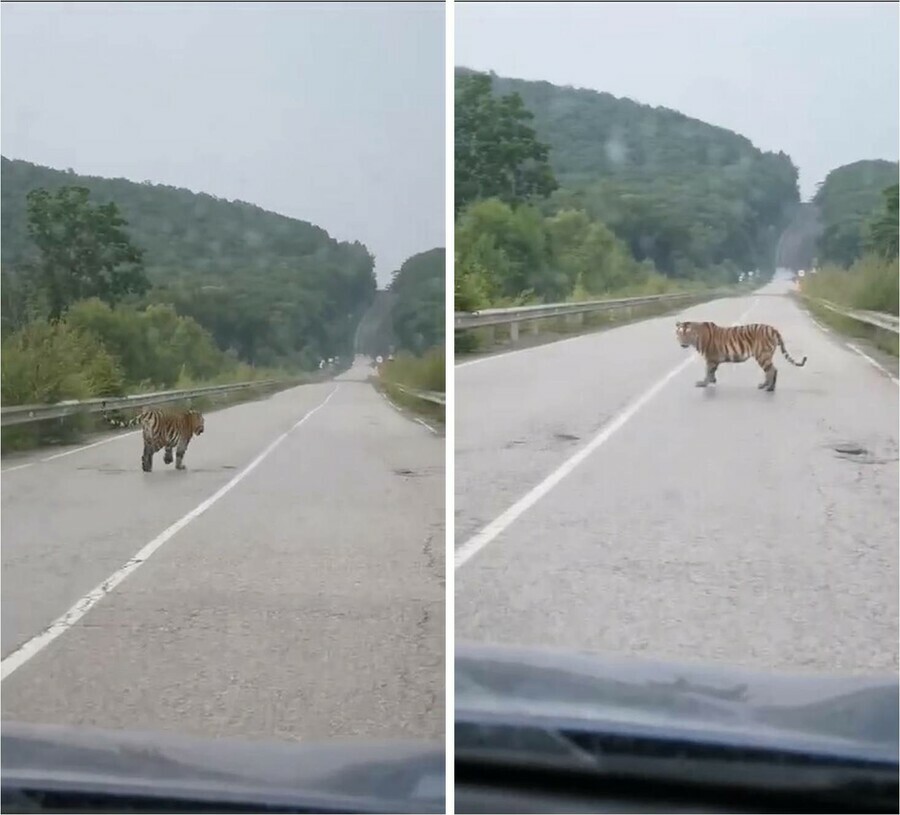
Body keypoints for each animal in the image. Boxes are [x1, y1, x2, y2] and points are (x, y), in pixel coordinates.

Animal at [676, 320, 808, 394]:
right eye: (680, 334)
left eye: (687, 335)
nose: (682, 343)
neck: (697, 337)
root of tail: (773, 329)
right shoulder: (713, 360)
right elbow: (711, 372)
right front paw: (712, 380)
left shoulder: (710, 358)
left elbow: (707, 371)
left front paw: (703, 383)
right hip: (765, 356)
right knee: (770, 370)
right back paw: (765, 386)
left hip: (762, 355)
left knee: (771, 370)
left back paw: (769, 388)